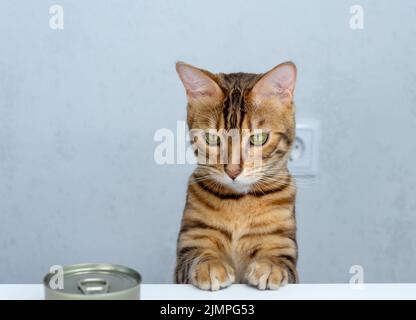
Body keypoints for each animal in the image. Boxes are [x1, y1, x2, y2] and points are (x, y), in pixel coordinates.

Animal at [174, 60, 298, 290]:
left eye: (258, 138)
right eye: (212, 139)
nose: (233, 171)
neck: (239, 200)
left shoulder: (281, 242)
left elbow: (279, 258)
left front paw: (270, 265)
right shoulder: (193, 237)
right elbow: (198, 253)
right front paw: (210, 264)